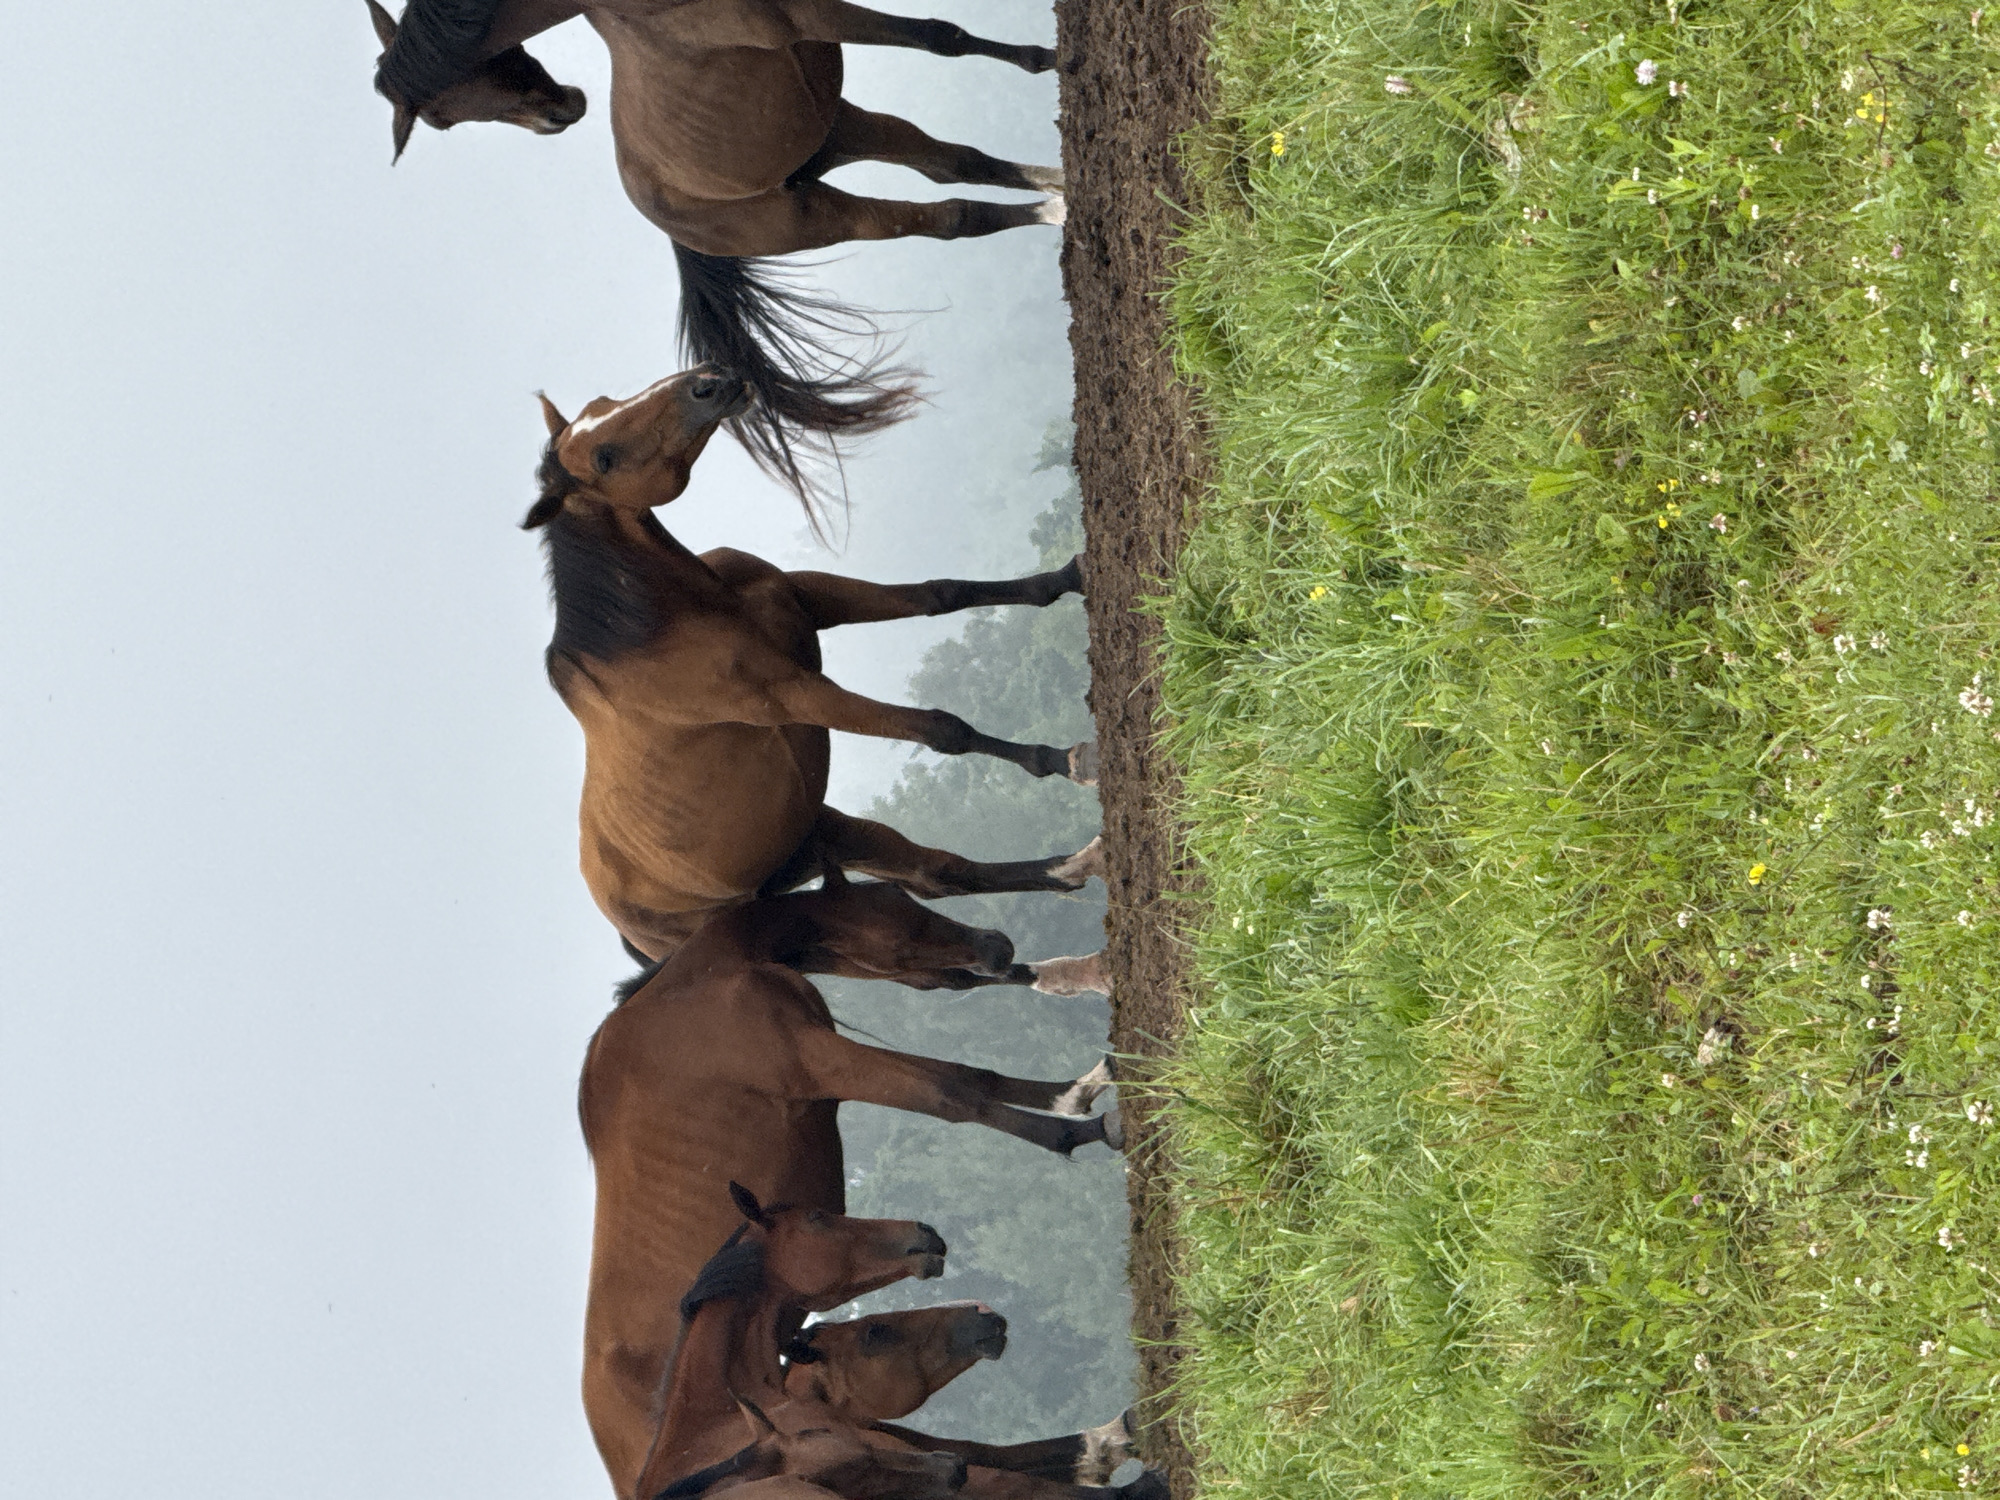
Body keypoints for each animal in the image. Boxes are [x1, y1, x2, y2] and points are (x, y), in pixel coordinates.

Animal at [366, 0, 1065, 507]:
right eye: (443, 120)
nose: (562, 111)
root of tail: (668, 221)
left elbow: (947, 37)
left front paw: (1056, 58)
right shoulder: (807, 14)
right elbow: (939, 36)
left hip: (837, 128)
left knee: (954, 164)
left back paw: (1057, 183)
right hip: (824, 213)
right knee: (952, 215)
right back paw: (1054, 209)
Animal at [526, 364, 1107, 994]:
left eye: (603, 402)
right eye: (603, 458)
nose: (709, 382)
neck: (672, 617)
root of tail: (639, 940)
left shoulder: (811, 598)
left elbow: (941, 594)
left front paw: (1070, 575)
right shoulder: (798, 695)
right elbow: (941, 730)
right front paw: (1074, 759)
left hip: (825, 837)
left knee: (937, 875)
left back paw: (1073, 878)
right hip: (833, 937)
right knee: (944, 963)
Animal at [579, 885, 1124, 1495]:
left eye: (901, 893)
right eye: (894, 916)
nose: (998, 946)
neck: (697, 987)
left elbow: (975, 1077)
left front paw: (1081, 1091)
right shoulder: (819, 1059)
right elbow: (951, 1091)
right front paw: (1078, 1129)